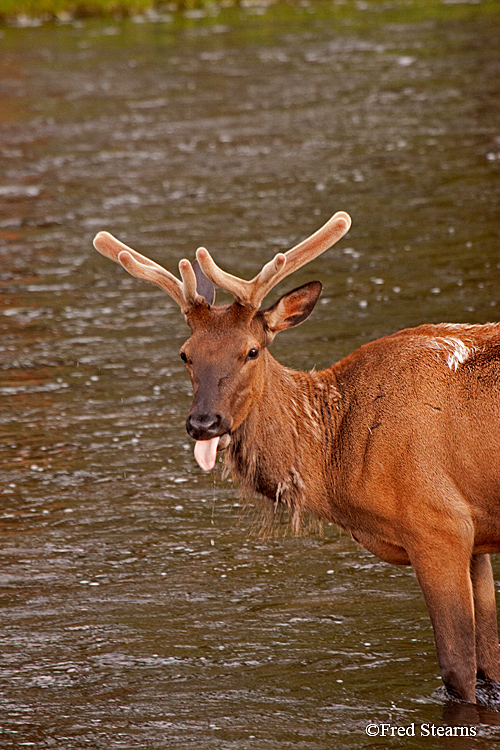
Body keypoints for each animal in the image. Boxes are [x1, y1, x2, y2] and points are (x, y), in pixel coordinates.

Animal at [93, 213, 500, 712]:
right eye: (186, 354)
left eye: (252, 350)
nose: (204, 422)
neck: (337, 456)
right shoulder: (477, 535)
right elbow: (489, 668)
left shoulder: (438, 524)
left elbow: (459, 673)